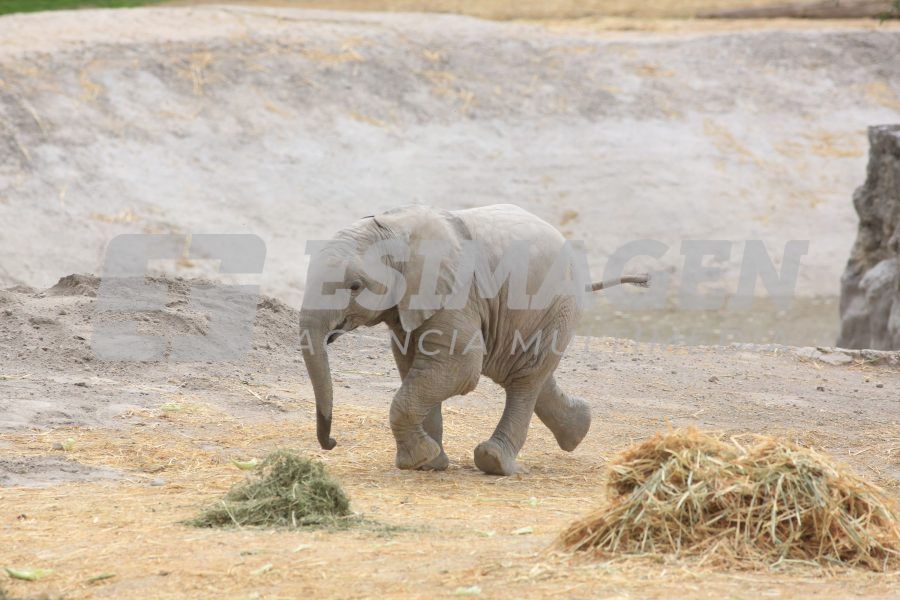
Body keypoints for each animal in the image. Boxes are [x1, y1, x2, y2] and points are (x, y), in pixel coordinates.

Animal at [302, 204, 648, 476]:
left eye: (355, 286)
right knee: (529, 371)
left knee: (524, 380)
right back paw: (578, 429)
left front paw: (417, 460)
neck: (393, 226)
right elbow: (414, 366)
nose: (331, 442)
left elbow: (461, 368)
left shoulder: (457, 292)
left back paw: (494, 462)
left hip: (557, 304)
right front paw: (431, 464)